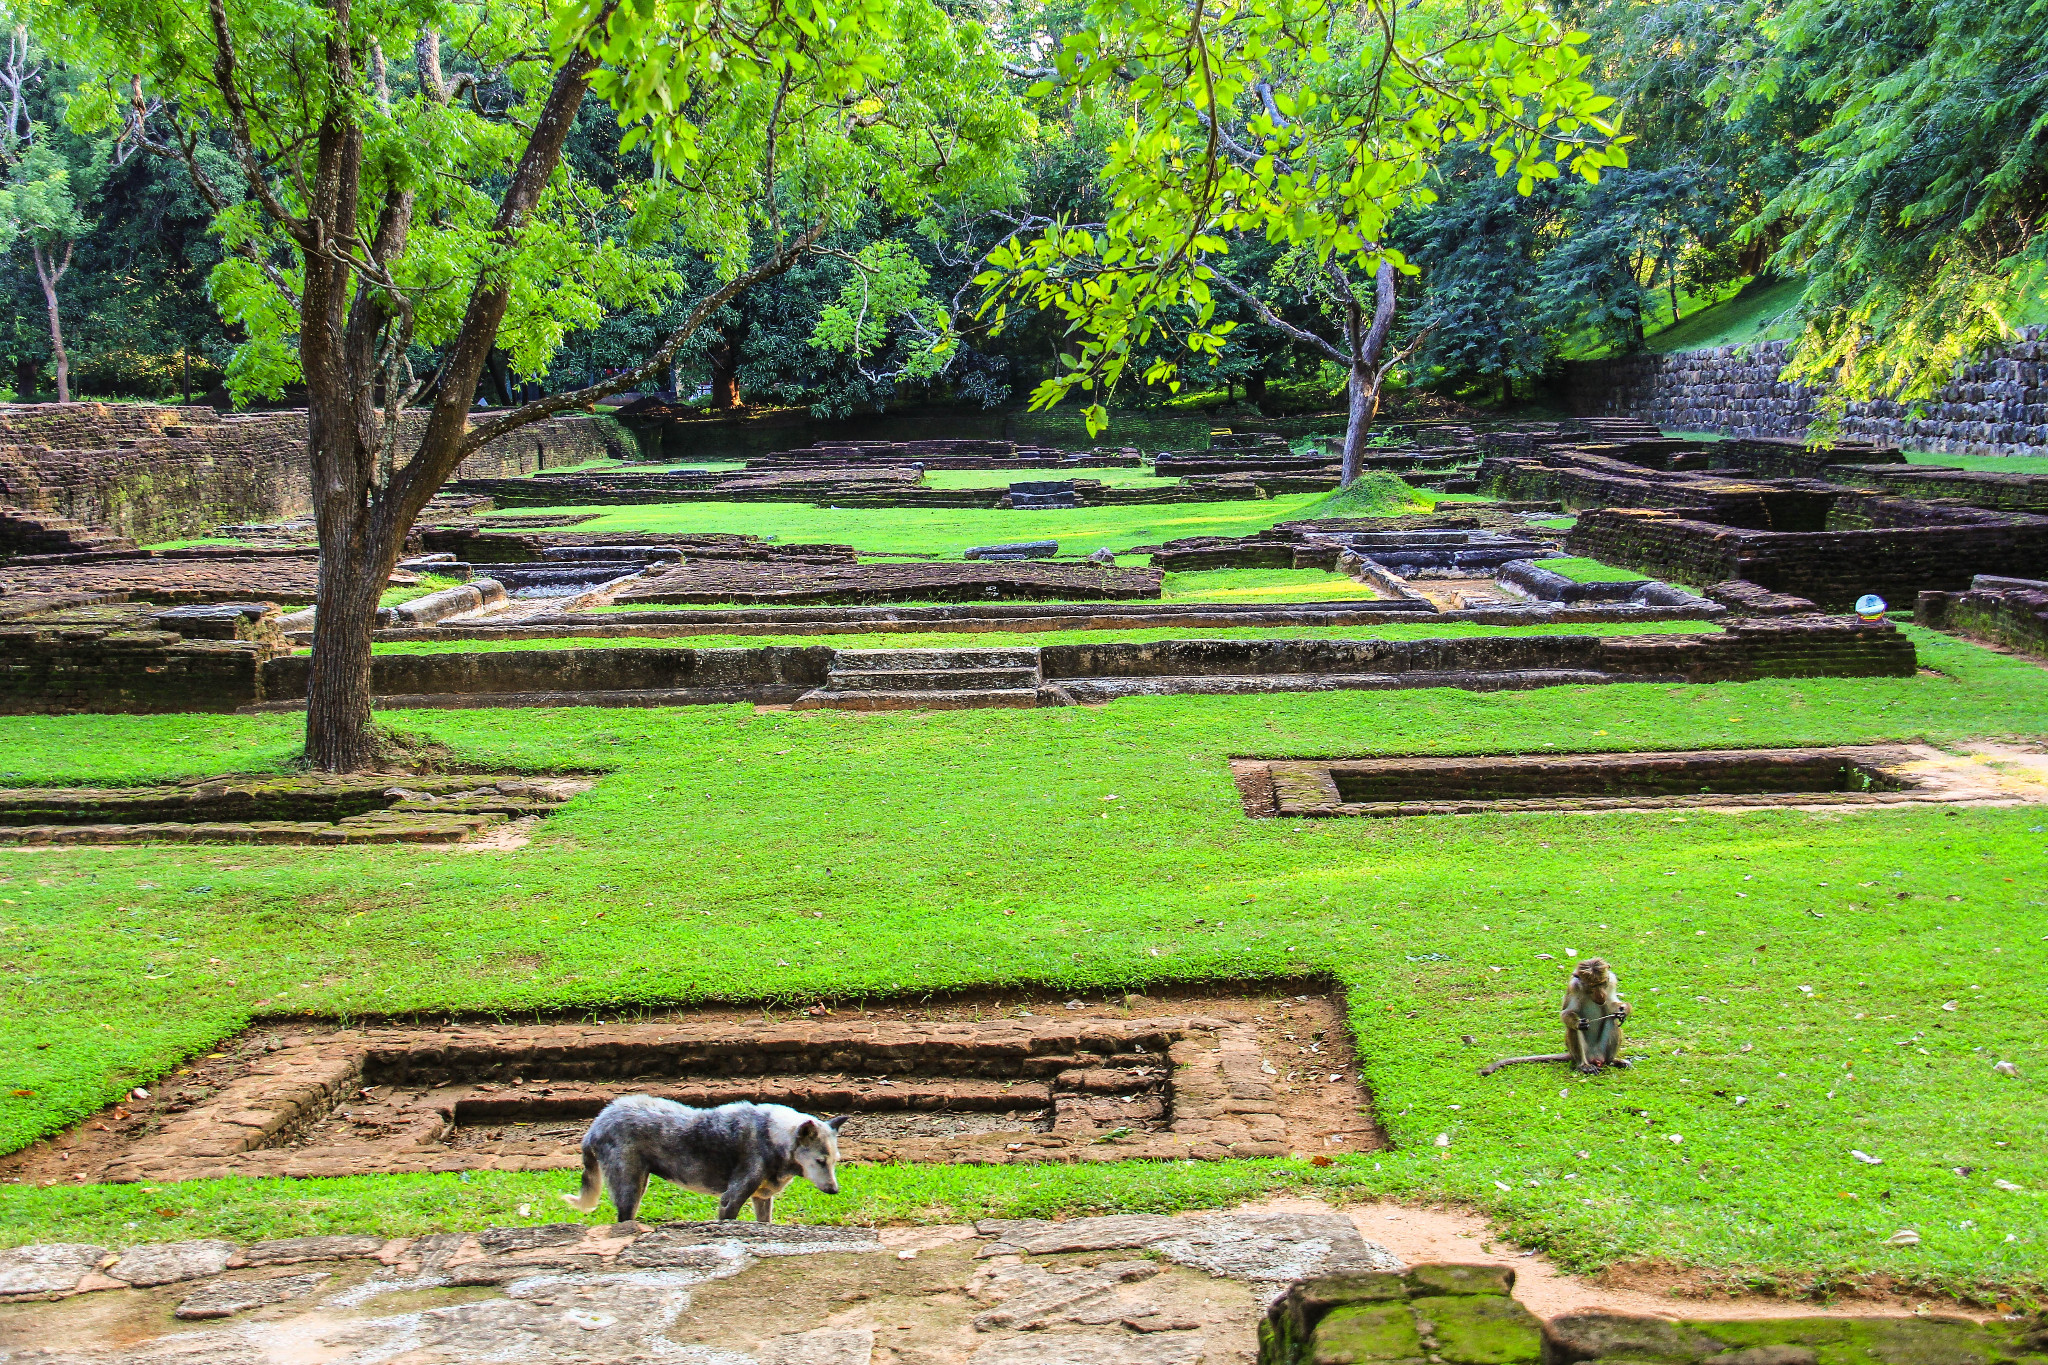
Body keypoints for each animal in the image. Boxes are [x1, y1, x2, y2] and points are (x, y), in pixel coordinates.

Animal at [561, 1096, 847, 1227]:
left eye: (835, 1161)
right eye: (820, 1161)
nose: (835, 1190)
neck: (773, 1136)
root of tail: (598, 1122)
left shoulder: (762, 1198)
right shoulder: (731, 1199)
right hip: (630, 1189)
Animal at [1474, 961, 1630, 1080]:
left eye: (1602, 983)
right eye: (1592, 986)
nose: (1601, 995)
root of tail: (1595, 1057)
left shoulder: (1612, 981)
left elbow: (1612, 1005)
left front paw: (1624, 1009)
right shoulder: (1573, 988)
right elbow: (1566, 1013)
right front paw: (1577, 1023)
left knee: (1613, 1021)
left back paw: (1612, 1061)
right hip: (1583, 1053)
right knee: (1573, 1030)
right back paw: (1583, 1065)